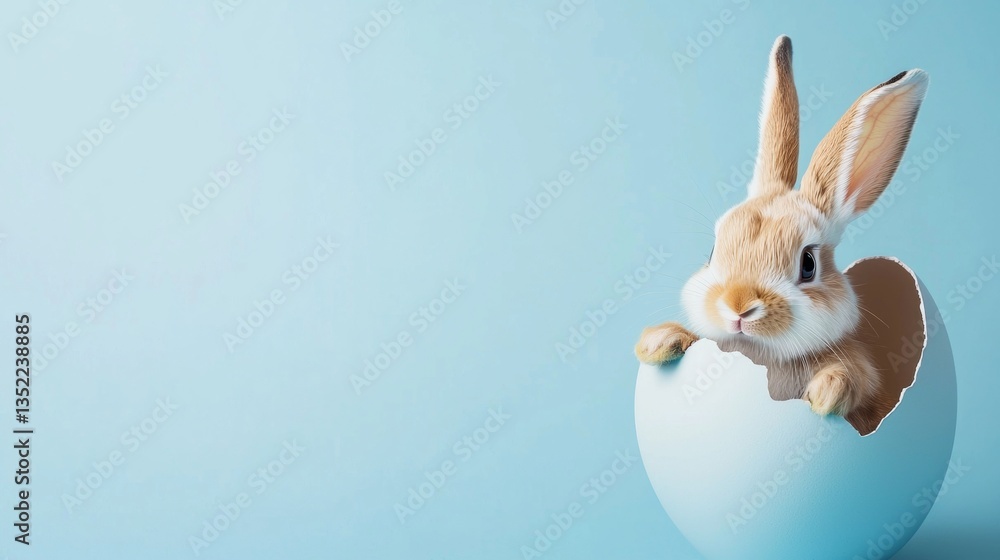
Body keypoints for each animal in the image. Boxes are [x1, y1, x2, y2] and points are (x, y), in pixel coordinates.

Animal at [635, 35, 928, 435]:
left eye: (808, 264)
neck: (759, 354)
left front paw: (826, 392)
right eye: (712, 251)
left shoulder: (863, 374)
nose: (738, 306)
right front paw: (659, 340)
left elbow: (855, 376)